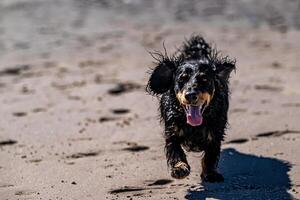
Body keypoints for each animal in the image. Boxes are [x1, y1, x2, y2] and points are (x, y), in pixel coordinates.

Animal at [146, 35, 236, 183]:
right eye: (181, 79)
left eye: (204, 79)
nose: (191, 95)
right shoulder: (172, 133)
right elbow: (176, 152)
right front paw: (180, 168)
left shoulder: (215, 134)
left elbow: (210, 157)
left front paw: (210, 173)